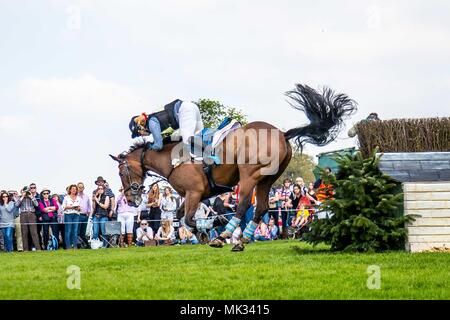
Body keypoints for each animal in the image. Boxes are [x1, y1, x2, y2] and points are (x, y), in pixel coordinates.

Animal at [110, 84, 356, 251]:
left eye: (122, 172)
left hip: (249, 174)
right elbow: (182, 217)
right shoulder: (196, 195)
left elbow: (189, 218)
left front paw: (209, 232)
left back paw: (227, 237)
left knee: (244, 205)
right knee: (261, 208)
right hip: (267, 178)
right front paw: (204, 231)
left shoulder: (194, 193)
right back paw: (244, 236)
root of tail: (281, 133)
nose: (131, 199)